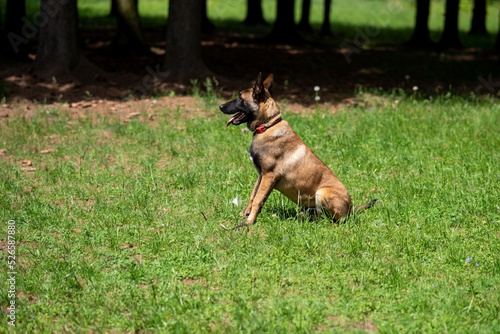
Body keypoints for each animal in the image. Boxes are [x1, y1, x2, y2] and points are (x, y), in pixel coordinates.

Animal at [219, 72, 376, 230]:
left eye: (240, 97)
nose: (220, 106)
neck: (268, 125)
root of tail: (351, 209)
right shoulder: (261, 175)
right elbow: (253, 196)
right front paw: (245, 214)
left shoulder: (269, 175)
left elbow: (257, 199)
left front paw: (248, 222)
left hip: (322, 193)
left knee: (334, 221)